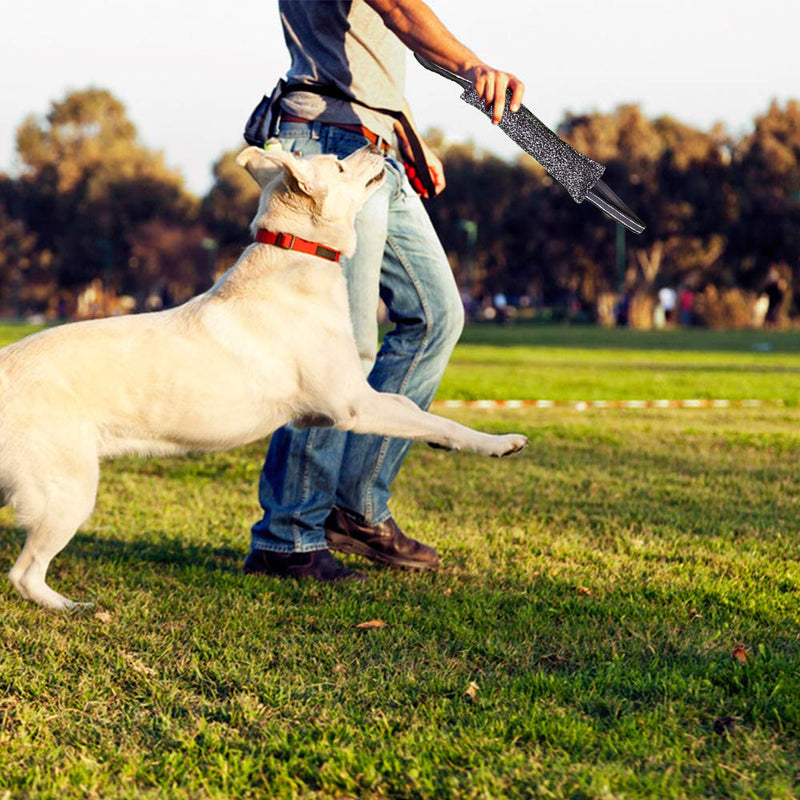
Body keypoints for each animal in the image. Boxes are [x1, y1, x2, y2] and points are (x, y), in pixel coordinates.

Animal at [3, 145, 528, 608]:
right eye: (339, 163)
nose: (381, 146)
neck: (300, 256)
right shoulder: (353, 406)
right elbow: (438, 420)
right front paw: (498, 443)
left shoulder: (346, 403)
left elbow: (419, 412)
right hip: (68, 491)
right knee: (24, 574)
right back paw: (69, 606)